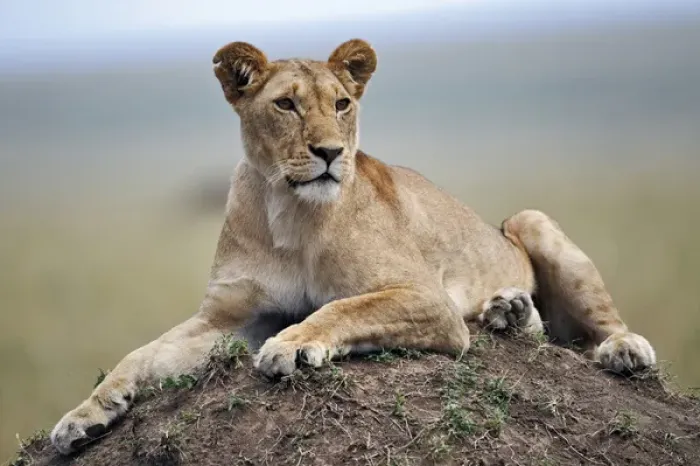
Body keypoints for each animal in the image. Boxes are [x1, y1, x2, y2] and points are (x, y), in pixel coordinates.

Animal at [50, 38, 656, 454]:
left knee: (598, 324)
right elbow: (142, 355)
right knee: (541, 328)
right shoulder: (224, 317)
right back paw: (509, 311)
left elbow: (342, 308)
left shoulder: (428, 299)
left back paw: (622, 349)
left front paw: (292, 345)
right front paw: (83, 416)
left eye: (342, 103)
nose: (330, 152)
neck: (288, 213)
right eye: (286, 105)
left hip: (532, 221)